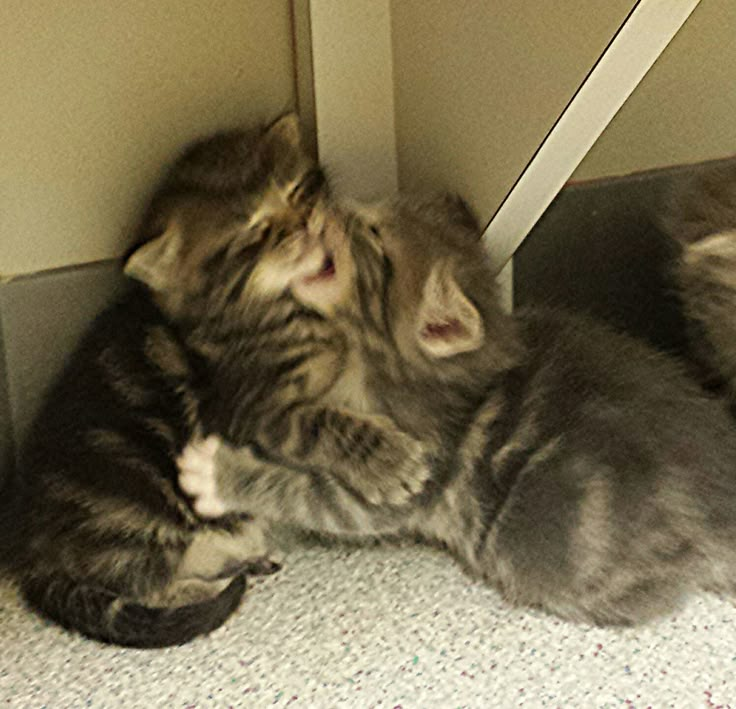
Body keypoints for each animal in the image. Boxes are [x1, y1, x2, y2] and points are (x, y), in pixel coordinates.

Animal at [2, 112, 422, 648]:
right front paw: (389, 461)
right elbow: (323, 422)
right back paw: (210, 585)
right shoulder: (248, 411)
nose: (306, 224)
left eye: (298, 190)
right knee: (136, 581)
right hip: (137, 508)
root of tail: (30, 554)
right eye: (255, 231)